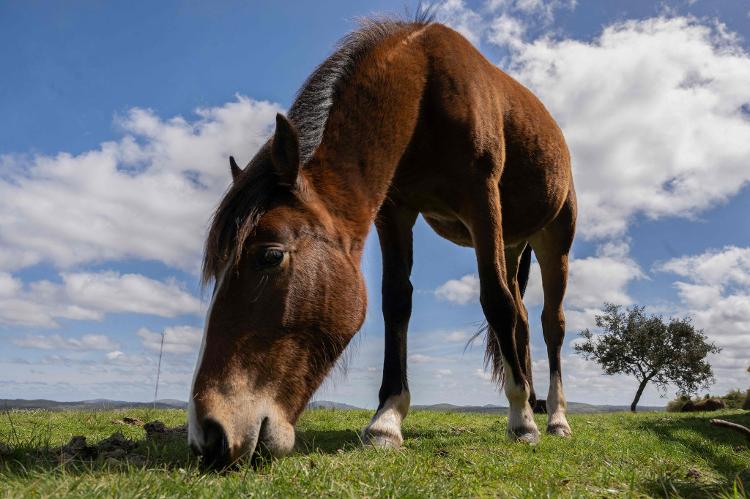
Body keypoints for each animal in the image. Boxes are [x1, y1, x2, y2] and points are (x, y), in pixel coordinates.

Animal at [188, 14, 576, 468]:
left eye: (270, 255)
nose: (209, 433)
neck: (425, 86)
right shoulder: (394, 211)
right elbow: (396, 303)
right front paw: (386, 420)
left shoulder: (483, 199)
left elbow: (495, 301)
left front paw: (521, 420)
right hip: (513, 244)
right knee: (524, 319)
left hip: (554, 240)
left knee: (550, 323)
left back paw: (554, 417)